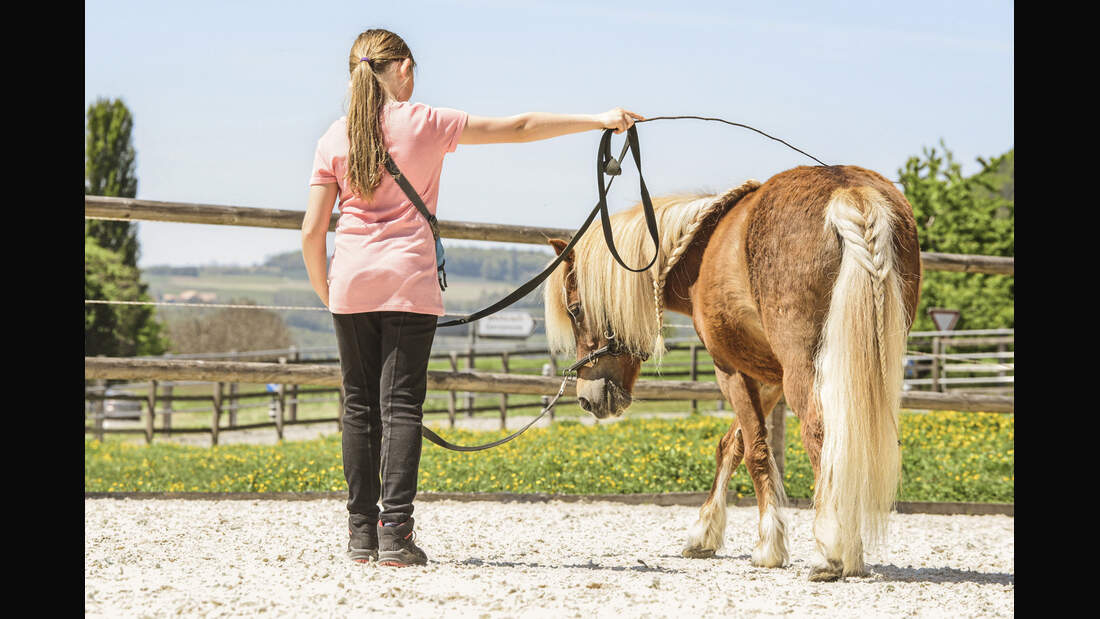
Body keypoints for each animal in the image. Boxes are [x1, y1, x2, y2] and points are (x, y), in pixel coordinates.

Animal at [541, 163, 919, 580]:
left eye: (575, 309)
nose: (587, 399)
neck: (700, 252)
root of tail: (848, 192)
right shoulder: (769, 376)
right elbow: (732, 444)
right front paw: (704, 533)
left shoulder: (730, 369)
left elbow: (755, 450)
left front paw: (769, 546)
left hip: (805, 369)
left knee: (821, 434)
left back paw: (831, 549)